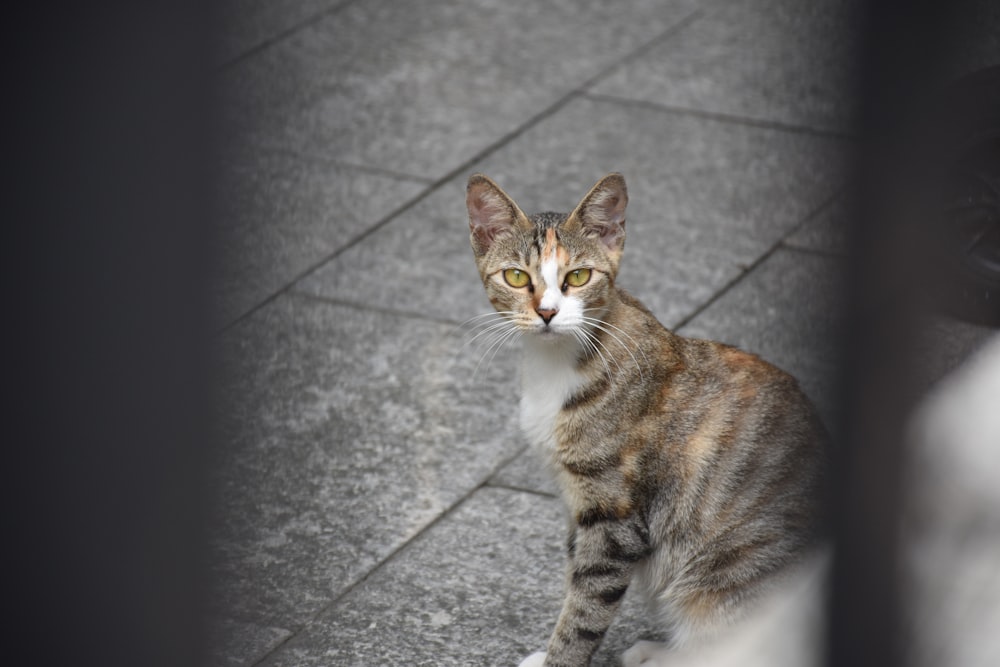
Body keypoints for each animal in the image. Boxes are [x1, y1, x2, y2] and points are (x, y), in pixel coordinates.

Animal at [464, 174, 824, 667]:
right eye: (517, 276)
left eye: (578, 276)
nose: (547, 312)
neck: (557, 364)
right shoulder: (577, 505)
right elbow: (575, 577)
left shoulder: (614, 515)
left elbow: (587, 603)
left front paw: (560, 657)